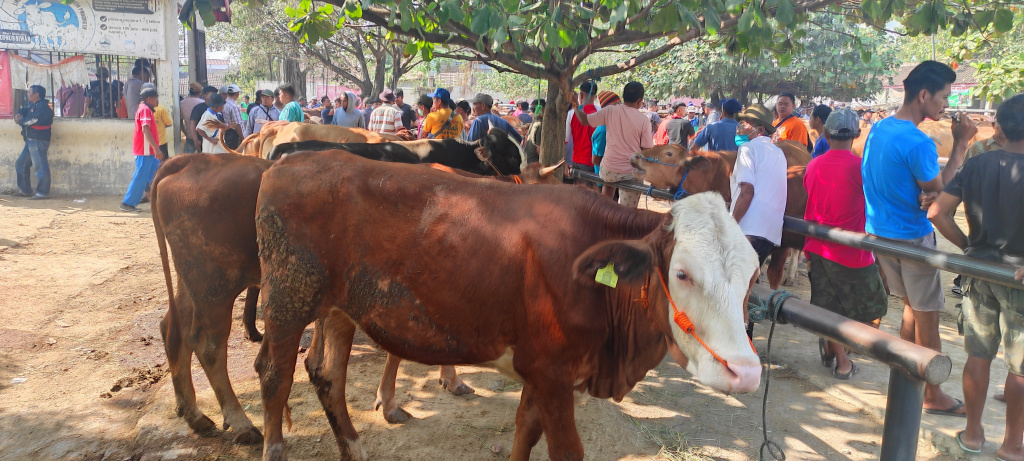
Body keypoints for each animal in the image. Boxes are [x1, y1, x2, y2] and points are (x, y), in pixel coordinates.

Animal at [251, 152, 761, 461]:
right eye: (682, 273)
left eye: (753, 277)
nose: (746, 372)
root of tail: (291, 160)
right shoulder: (553, 377)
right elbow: (564, 450)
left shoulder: (541, 372)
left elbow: (522, 433)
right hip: (286, 300)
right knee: (276, 376)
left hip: (339, 309)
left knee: (327, 376)